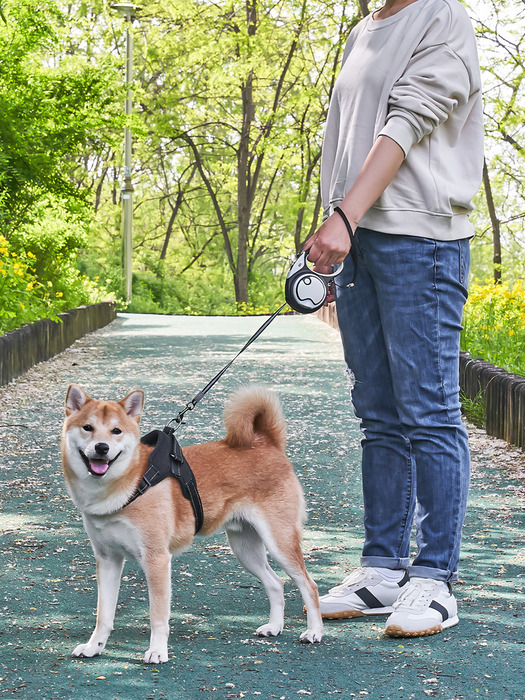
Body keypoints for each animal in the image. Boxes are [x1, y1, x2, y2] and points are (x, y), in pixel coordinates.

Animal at [61, 386, 324, 664]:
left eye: (116, 431)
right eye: (88, 427)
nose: (101, 448)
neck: (131, 484)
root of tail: (267, 442)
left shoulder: (156, 560)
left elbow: (157, 616)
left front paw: (157, 650)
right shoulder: (108, 560)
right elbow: (104, 615)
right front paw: (94, 646)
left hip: (279, 542)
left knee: (309, 585)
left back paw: (314, 631)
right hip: (246, 550)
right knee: (276, 583)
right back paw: (274, 627)